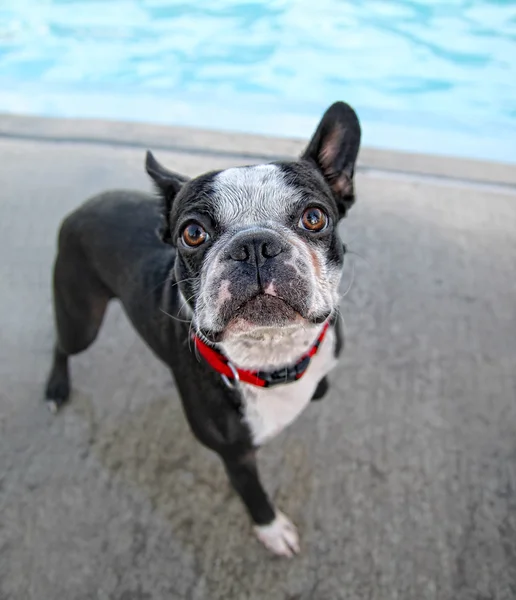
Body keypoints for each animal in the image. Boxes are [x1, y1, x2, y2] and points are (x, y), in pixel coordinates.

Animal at [44, 101, 360, 556]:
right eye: (193, 233)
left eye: (314, 217)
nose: (255, 244)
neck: (273, 355)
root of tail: (85, 205)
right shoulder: (236, 456)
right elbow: (253, 493)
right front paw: (272, 529)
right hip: (80, 319)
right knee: (62, 343)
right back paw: (56, 388)